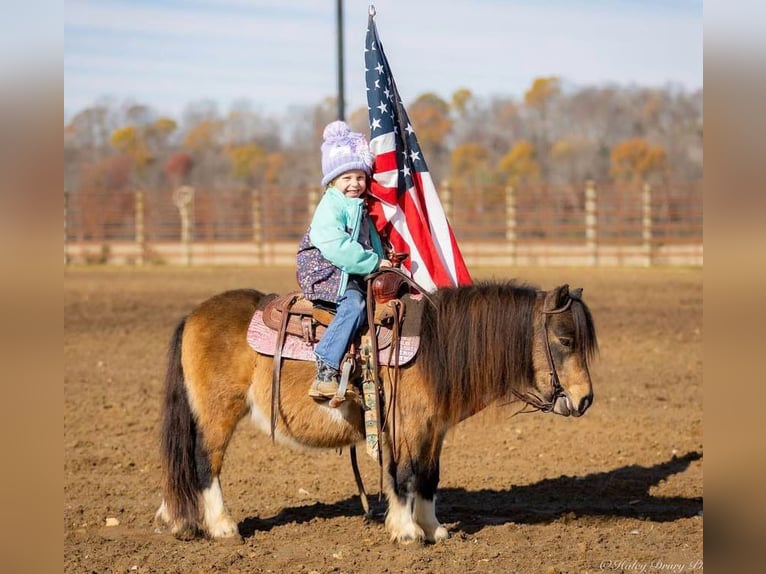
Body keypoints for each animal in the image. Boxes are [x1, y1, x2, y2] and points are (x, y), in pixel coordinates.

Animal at [156, 282, 600, 544]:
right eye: (565, 339)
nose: (584, 400)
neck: (435, 346)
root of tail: (192, 316)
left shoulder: (431, 430)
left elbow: (427, 477)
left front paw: (433, 528)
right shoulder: (408, 426)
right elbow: (404, 475)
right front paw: (406, 531)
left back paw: (174, 519)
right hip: (219, 414)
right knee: (205, 463)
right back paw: (222, 526)